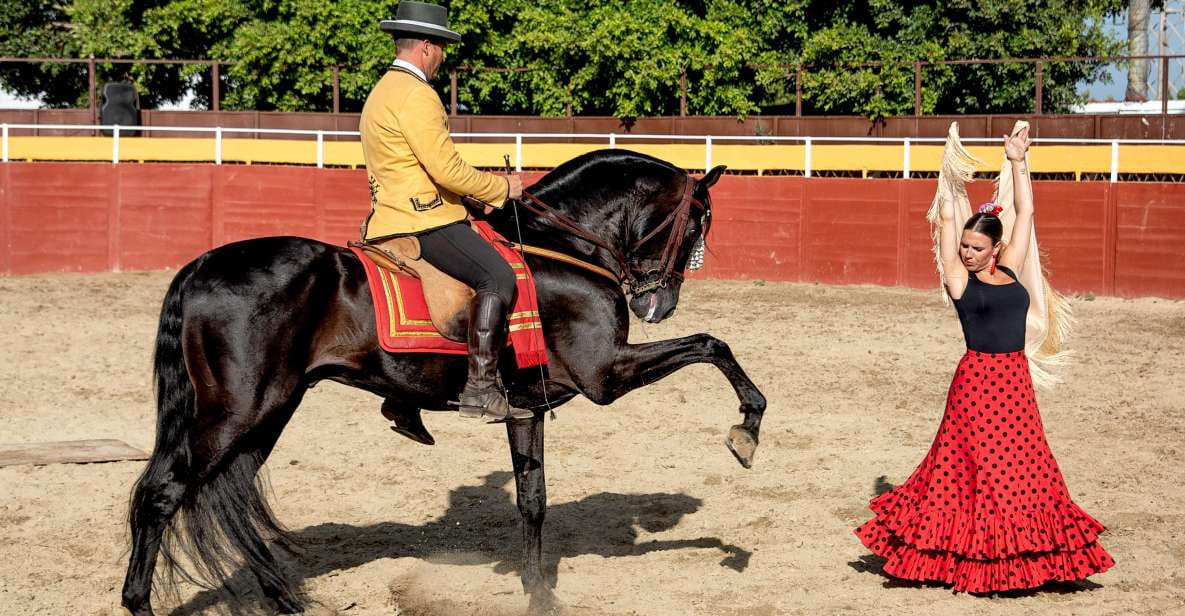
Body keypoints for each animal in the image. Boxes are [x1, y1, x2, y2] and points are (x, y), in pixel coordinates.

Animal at [120, 149, 768, 615]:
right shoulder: (606, 373)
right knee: (164, 494)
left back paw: (281, 597)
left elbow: (533, 500)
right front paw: (747, 429)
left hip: (269, 413)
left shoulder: (528, 406)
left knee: (225, 497)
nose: (659, 304)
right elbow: (713, 345)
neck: (559, 248)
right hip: (238, 411)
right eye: (697, 224)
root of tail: (201, 266)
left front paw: (537, 593)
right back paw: (142, 602)